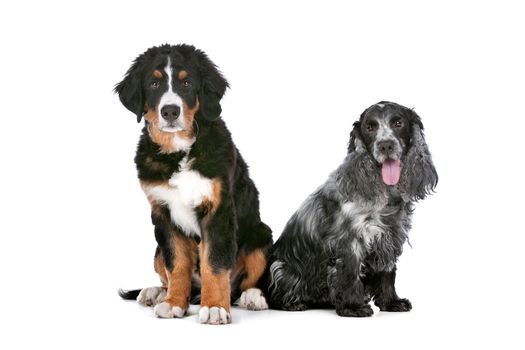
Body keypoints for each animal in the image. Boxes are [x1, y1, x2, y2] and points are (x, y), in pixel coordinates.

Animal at [116, 44, 272, 326]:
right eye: (154, 83)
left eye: (187, 83)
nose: (170, 111)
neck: (179, 151)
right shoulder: (163, 214)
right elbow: (176, 264)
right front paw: (174, 303)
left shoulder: (218, 211)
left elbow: (214, 263)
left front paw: (215, 307)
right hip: (156, 250)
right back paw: (156, 293)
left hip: (261, 234)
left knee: (248, 280)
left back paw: (252, 297)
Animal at [266, 101, 434, 318]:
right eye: (370, 127)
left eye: (398, 123)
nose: (385, 145)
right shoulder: (350, 240)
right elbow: (350, 275)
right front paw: (352, 307)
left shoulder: (389, 237)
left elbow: (388, 273)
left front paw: (392, 302)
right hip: (280, 267)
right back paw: (293, 304)